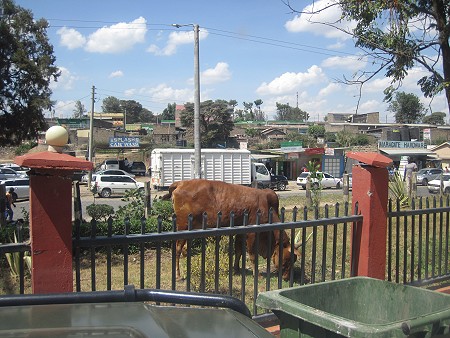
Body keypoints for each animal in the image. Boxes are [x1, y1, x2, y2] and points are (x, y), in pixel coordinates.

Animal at [162, 180, 298, 280]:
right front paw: (257, 275)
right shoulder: (252, 234)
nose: (286, 278)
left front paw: (236, 269)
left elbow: (238, 251)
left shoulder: (240, 233)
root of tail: (181, 183)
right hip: (182, 227)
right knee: (177, 249)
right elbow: (252, 255)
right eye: (287, 260)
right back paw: (178, 275)